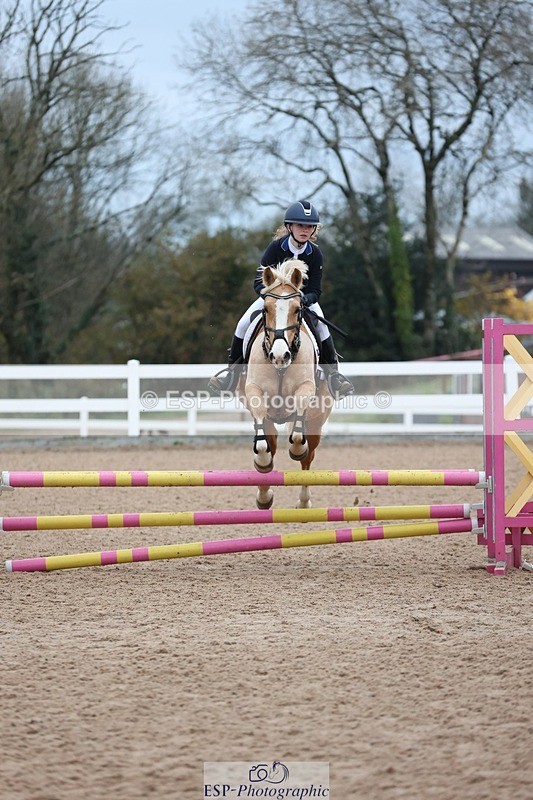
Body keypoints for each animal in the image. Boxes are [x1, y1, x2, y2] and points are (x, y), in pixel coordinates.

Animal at [237, 259, 333, 510]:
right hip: (271, 419)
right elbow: (263, 446)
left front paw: (297, 448)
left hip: (316, 420)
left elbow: (299, 440)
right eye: (266, 309)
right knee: (269, 443)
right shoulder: (254, 391)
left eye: (298, 309)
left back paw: (304, 502)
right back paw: (264, 494)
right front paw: (262, 463)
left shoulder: (306, 388)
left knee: (308, 458)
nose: (280, 356)